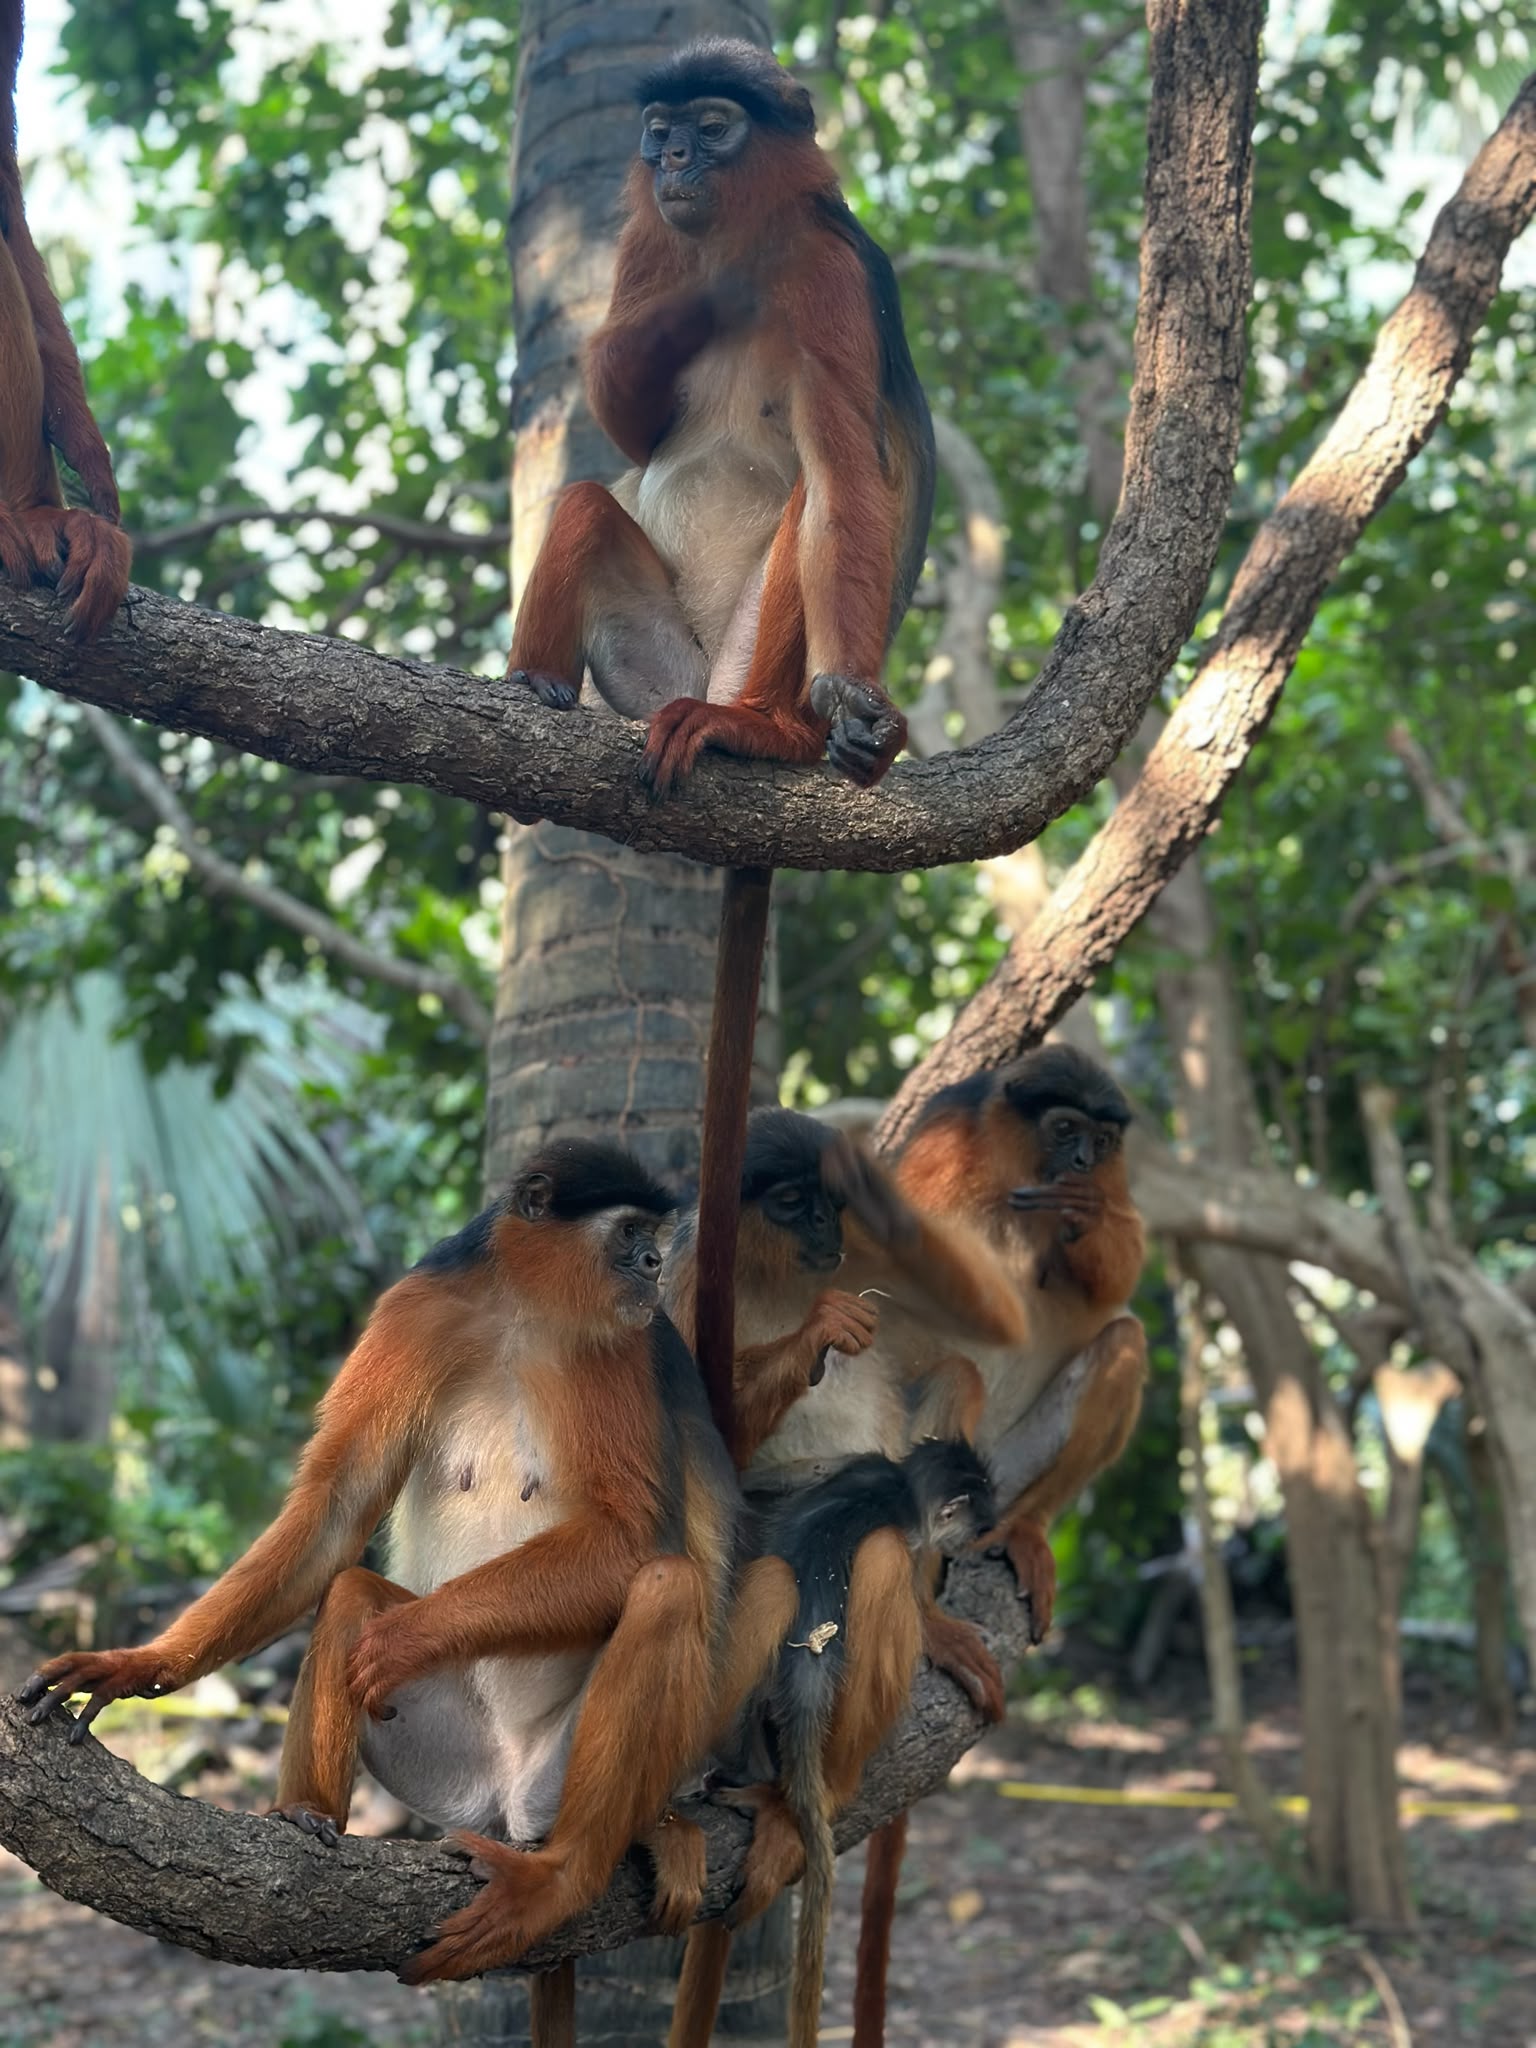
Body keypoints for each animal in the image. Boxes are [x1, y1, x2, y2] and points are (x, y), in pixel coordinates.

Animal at [19, 1139, 741, 2001]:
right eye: (631, 1231)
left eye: (654, 1236)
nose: (655, 1263)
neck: (523, 1313)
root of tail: (507, 1803)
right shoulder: (420, 1308)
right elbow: (337, 1513)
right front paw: (138, 1663)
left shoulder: (627, 1341)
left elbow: (635, 1539)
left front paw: (403, 1639)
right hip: (448, 1760)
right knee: (352, 1591)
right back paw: (307, 1817)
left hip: (558, 1777)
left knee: (667, 1589)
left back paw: (560, 1879)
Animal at [506, 38, 934, 795]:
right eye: (659, 130)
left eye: (710, 129)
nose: (674, 158)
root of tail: (702, 686)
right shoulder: (647, 240)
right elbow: (633, 433)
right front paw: (710, 294)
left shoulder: (831, 271)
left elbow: (843, 481)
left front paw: (854, 700)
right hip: (661, 671)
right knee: (584, 504)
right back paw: (535, 681)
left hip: (738, 668)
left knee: (812, 502)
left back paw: (765, 728)